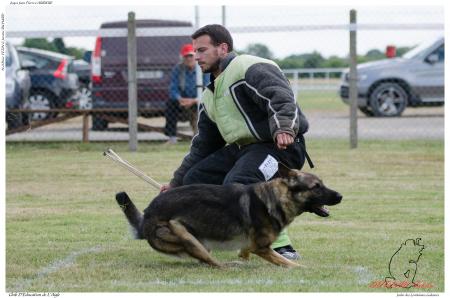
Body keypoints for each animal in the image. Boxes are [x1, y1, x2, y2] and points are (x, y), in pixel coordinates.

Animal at [115, 164, 342, 268]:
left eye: (322, 183)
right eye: (316, 187)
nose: (340, 196)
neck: (276, 199)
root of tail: (147, 215)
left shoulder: (251, 246)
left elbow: (246, 252)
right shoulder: (262, 248)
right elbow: (287, 262)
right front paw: (303, 269)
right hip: (183, 233)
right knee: (214, 263)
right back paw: (230, 266)